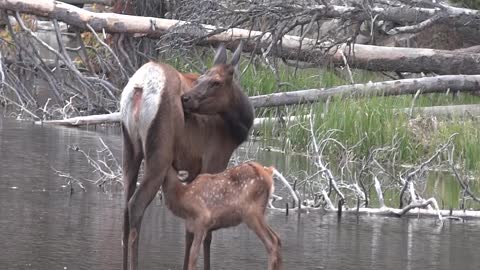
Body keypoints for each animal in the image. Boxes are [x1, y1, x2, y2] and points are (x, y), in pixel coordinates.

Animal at [119, 42, 253, 270]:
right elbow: (207, 232)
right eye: (201, 79)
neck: (237, 130)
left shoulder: (191, 170)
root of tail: (140, 86)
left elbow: (189, 228)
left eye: (215, 82)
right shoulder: (214, 160)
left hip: (130, 149)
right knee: (136, 205)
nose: (186, 99)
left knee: (125, 210)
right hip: (159, 155)